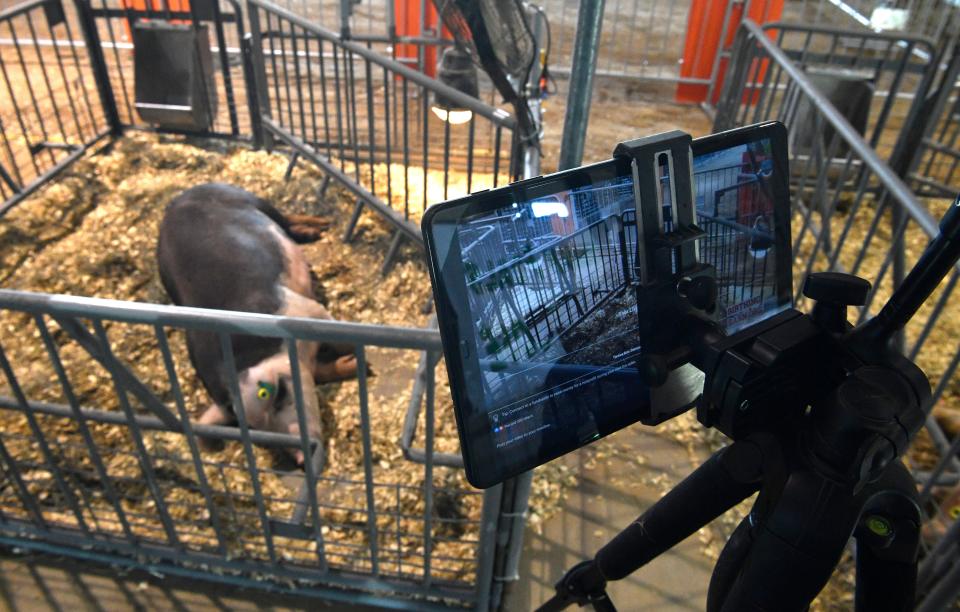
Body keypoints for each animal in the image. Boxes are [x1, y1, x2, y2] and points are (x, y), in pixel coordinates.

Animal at [159, 182, 358, 464]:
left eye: (272, 397)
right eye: (255, 427)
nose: (301, 458)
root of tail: (179, 198)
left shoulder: (304, 310)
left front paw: (362, 361)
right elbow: (322, 371)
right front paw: (351, 364)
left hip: (251, 200)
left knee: (284, 218)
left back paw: (320, 227)